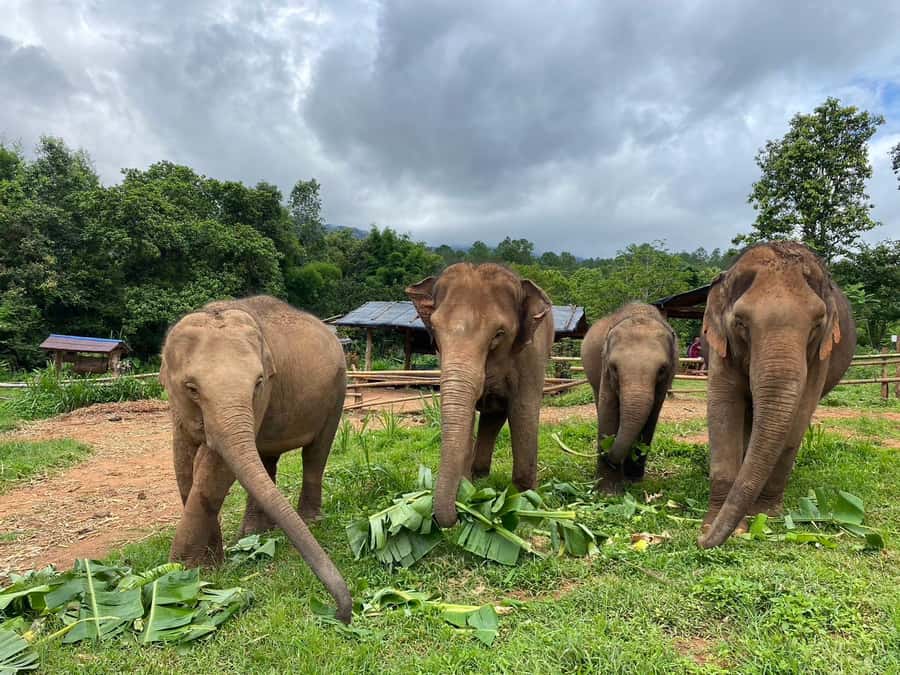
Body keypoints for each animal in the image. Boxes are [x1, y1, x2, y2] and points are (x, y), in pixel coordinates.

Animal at [159, 295, 352, 623]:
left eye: (258, 382)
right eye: (191, 388)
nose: (341, 612)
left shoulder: (265, 395)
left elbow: (214, 470)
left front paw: (184, 572)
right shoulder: (178, 408)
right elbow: (183, 465)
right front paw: (200, 568)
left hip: (337, 392)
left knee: (316, 453)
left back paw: (308, 520)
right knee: (267, 459)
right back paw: (255, 534)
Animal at [406, 263, 554, 528]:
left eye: (499, 334)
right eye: (435, 331)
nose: (455, 516)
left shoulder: (532, 355)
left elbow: (523, 412)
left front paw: (526, 502)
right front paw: (468, 492)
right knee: (491, 417)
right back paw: (480, 477)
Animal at [581, 303, 678, 492]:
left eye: (662, 369)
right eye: (614, 367)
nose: (606, 455)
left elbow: (652, 415)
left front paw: (633, 479)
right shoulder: (605, 370)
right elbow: (608, 408)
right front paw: (607, 491)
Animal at [698, 242, 855, 549]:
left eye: (817, 324)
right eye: (741, 323)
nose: (700, 541)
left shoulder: (821, 354)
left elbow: (800, 413)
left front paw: (764, 514)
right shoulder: (720, 347)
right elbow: (723, 408)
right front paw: (717, 524)